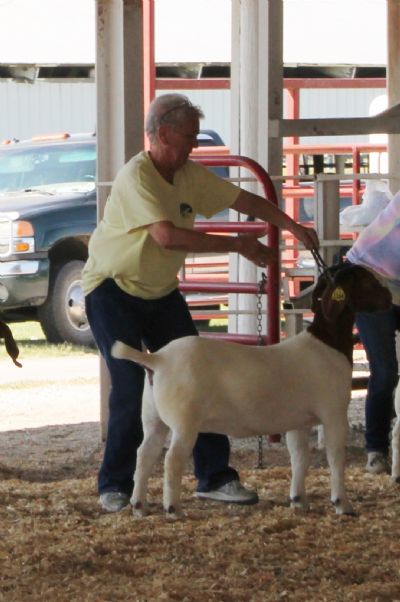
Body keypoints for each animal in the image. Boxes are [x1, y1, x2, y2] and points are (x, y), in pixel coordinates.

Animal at [111, 264, 390, 516]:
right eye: (367, 281)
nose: (389, 296)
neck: (327, 343)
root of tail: (157, 359)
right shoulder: (333, 413)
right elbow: (335, 457)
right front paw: (342, 504)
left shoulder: (299, 421)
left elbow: (299, 457)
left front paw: (299, 500)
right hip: (184, 421)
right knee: (172, 461)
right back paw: (173, 509)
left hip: (153, 418)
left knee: (144, 454)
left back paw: (139, 506)